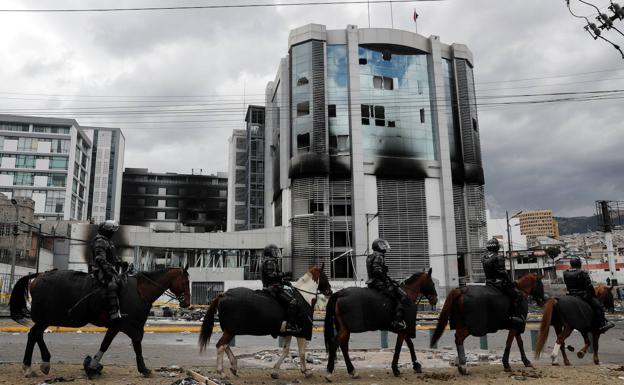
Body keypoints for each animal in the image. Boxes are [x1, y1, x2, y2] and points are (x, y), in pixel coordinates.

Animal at [9, 266, 190, 376]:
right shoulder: (128, 325)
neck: (140, 290)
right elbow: (128, 345)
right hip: (45, 317)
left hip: (45, 319)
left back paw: (42, 363)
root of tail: (39, 276)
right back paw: (29, 367)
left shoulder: (120, 326)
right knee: (34, 334)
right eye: (185, 281)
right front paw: (144, 369)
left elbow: (114, 344)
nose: (187, 303)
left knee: (36, 334)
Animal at [199, 264, 332, 378]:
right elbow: (302, 353)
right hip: (231, 330)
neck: (304, 298)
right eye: (324, 276)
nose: (330, 291)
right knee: (221, 346)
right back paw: (221, 372)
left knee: (225, 345)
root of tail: (224, 295)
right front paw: (305, 371)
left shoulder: (288, 332)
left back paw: (234, 366)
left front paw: (275, 371)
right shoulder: (301, 332)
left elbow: (285, 350)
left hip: (229, 330)